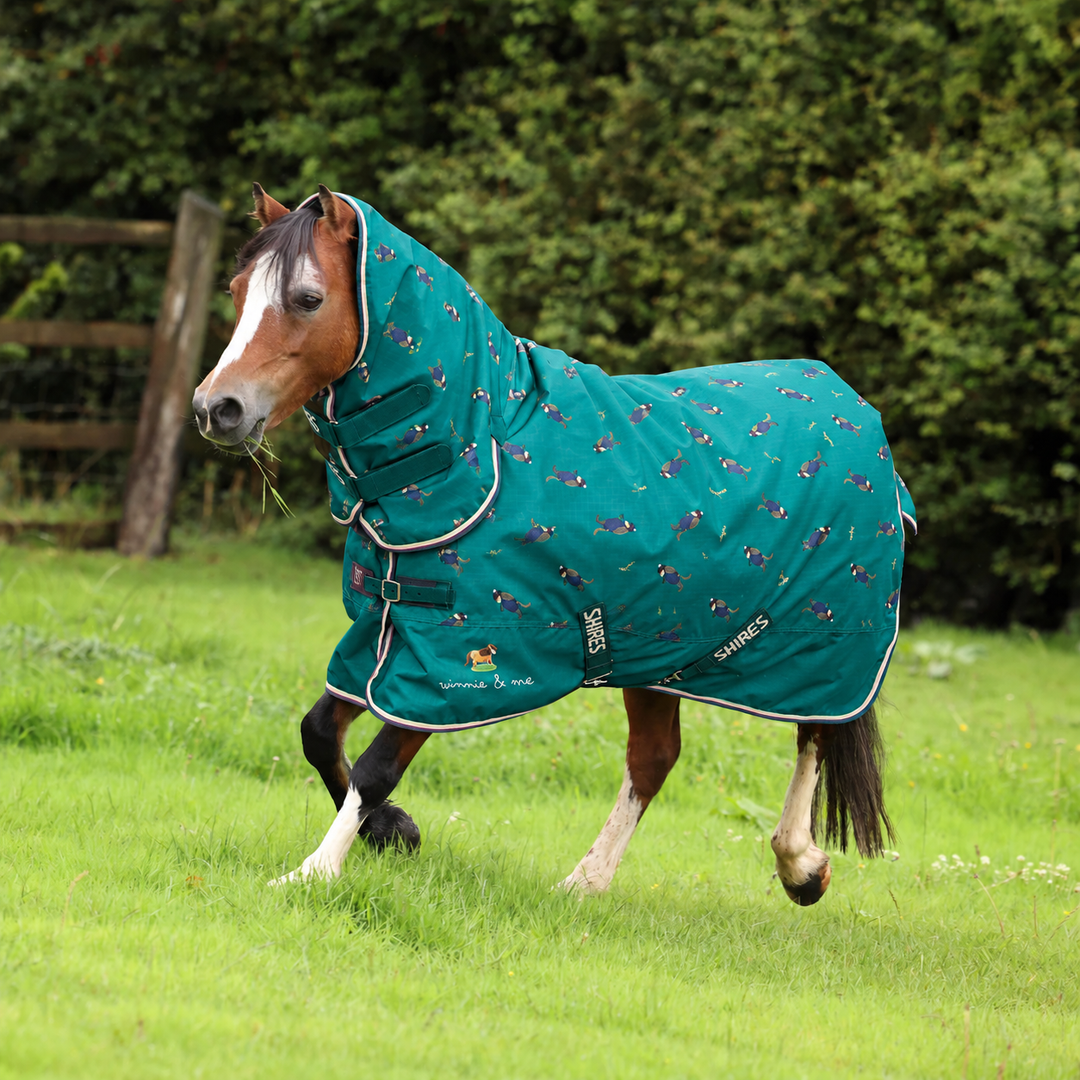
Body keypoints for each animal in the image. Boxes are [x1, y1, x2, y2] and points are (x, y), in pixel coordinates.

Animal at [193, 184, 912, 904]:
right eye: (235, 291)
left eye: (308, 298)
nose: (216, 408)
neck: (477, 450)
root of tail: (858, 413)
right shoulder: (385, 630)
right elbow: (318, 733)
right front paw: (393, 831)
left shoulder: (457, 663)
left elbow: (374, 768)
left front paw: (313, 870)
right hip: (659, 646)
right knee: (655, 758)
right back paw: (585, 883)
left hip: (823, 648)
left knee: (816, 734)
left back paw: (801, 867)